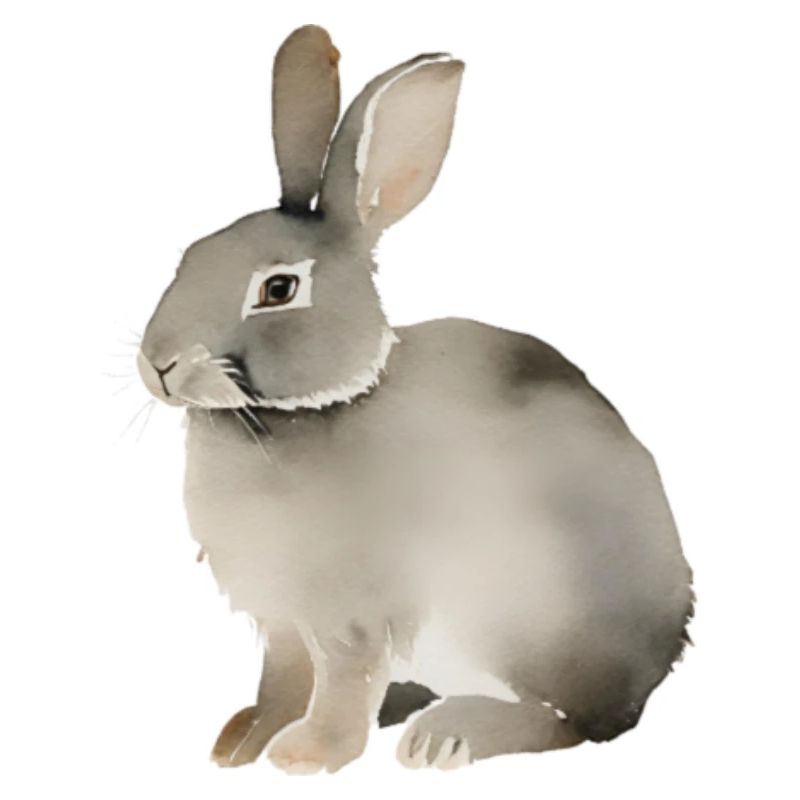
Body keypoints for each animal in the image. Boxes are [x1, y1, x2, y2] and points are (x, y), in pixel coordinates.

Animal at [137, 24, 693, 773]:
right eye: (191, 254)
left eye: (278, 289)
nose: (157, 364)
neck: (295, 415)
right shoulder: (281, 623)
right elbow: (283, 680)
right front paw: (241, 743)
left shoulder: (352, 613)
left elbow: (342, 682)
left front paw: (307, 755)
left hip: (522, 616)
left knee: (568, 721)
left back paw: (448, 733)